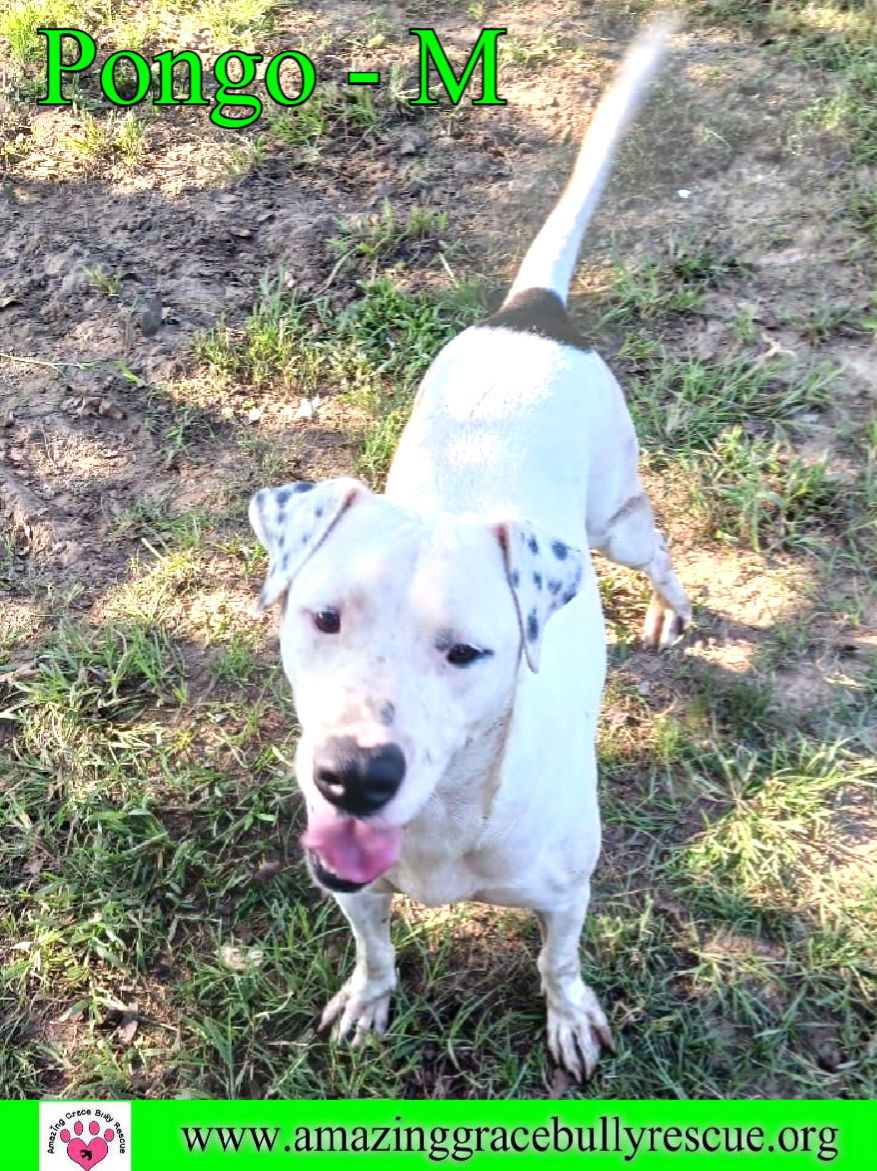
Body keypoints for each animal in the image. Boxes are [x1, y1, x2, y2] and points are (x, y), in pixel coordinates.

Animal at [249, 20, 688, 1077]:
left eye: (467, 651)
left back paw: (672, 607)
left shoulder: (567, 894)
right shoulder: (352, 885)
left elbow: (558, 959)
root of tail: (532, 311)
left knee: (656, 551)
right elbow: (374, 946)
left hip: (615, 519)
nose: (353, 775)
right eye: (322, 617)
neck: (447, 814)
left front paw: (569, 1015)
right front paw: (368, 998)